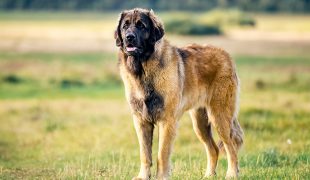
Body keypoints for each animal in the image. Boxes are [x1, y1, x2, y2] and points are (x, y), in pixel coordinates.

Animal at [115, 8, 243, 180]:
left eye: (141, 26)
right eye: (125, 26)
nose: (129, 37)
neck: (143, 69)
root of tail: (226, 55)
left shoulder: (167, 121)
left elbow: (162, 154)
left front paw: (161, 177)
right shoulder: (141, 120)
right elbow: (145, 154)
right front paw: (143, 176)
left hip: (220, 116)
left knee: (231, 146)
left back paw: (232, 173)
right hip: (200, 122)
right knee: (214, 149)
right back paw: (209, 175)